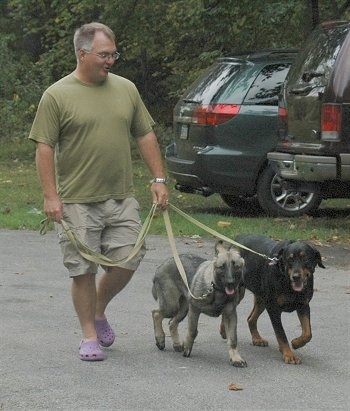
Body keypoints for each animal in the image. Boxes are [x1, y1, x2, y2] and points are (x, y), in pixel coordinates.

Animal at [232, 233, 326, 366]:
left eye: (305, 259)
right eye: (289, 259)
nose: (296, 277)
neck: (286, 280)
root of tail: (237, 238)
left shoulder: (303, 305)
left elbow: (308, 332)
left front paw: (297, 343)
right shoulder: (273, 309)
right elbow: (281, 334)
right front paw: (289, 354)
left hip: (262, 299)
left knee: (251, 318)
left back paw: (257, 338)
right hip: (238, 292)